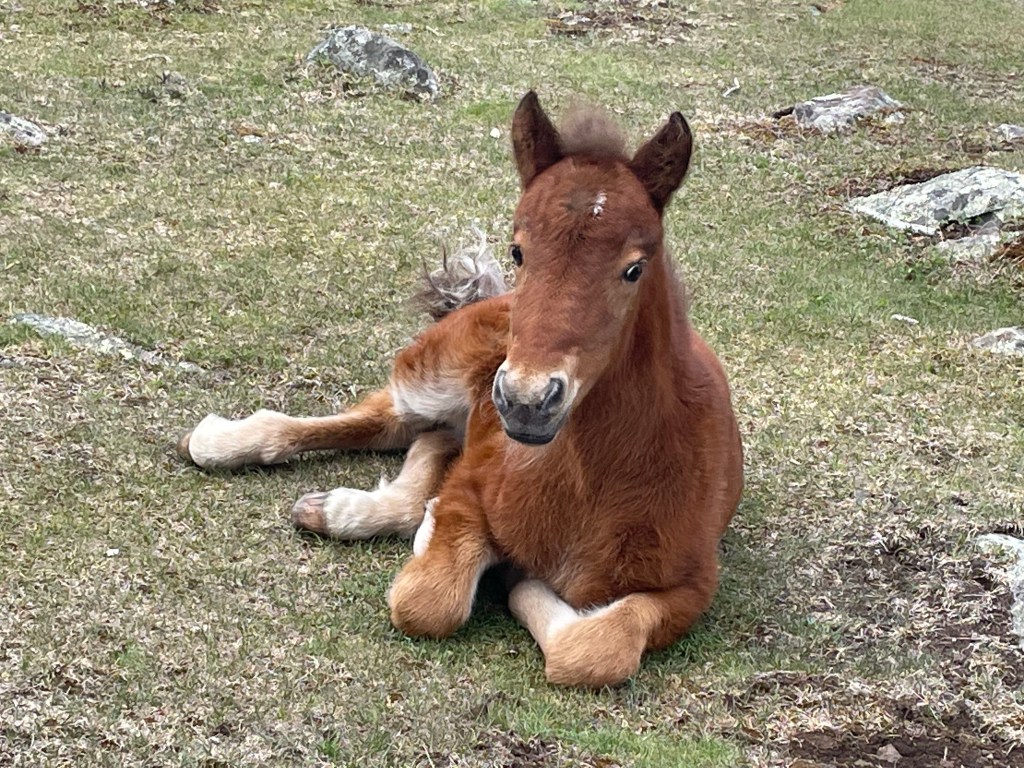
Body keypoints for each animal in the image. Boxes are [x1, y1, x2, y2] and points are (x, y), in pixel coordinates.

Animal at [177, 91, 743, 687]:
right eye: (518, 251)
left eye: (634, 268)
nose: (526, 402)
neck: (594, 486)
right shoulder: (472, 490)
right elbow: (428, 601)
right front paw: (485, 562)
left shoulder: (692, 585)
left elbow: (597, 647)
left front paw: (514, 575)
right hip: (432, 376)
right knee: (383, 421)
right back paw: (219, 442)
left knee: (428, 440)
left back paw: (338, 509)